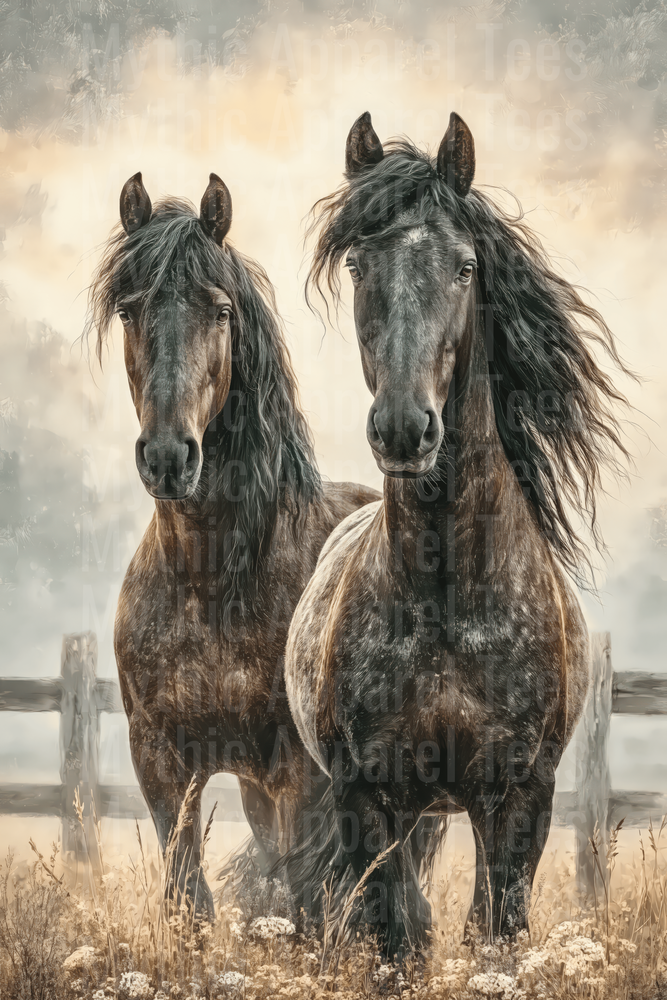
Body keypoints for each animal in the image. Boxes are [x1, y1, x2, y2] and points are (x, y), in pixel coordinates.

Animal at [86, 171, 379, 919]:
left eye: (219, 312)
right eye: (129, 311)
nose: (168, 456)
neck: (210, 585)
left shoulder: (299, 773)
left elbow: (304, 897)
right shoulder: (163, 762)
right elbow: (188, 896)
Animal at [283, 112, 632, 958]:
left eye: (465, 265)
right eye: (356, 263)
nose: (404, 429)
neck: (446, 603)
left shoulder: (517, 801)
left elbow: (494, 932)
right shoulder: (367, 800)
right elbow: (395, 940)